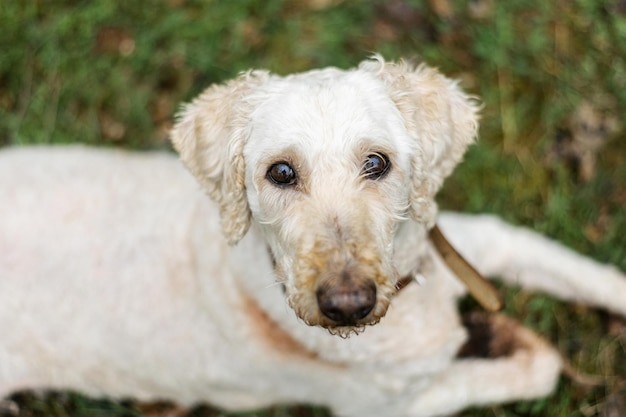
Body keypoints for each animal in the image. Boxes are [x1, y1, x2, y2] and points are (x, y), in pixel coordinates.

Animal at [1, 57, 624, 416]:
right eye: (280, 172)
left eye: (377, 163)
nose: (348, 304)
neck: (414, 298)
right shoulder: (381, 407)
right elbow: (539, 369)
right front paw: (508, 339)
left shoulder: (487, 241)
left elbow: (587, 274)